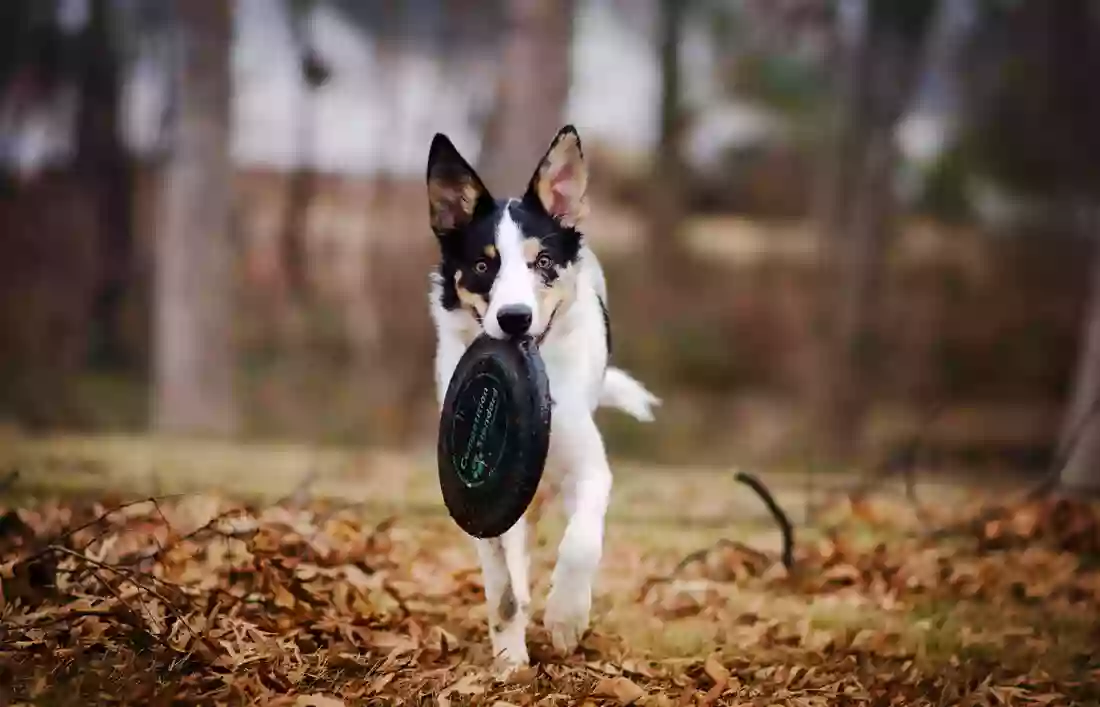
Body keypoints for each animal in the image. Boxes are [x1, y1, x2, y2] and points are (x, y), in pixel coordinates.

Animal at [424, 124, 655, 672]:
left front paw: (566, 617)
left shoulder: (589, 469)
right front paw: (510, 657)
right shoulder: (482, 510)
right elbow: (502, 587)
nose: (514, 319)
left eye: (543, 262)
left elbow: (581, 544)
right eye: (482, 265)